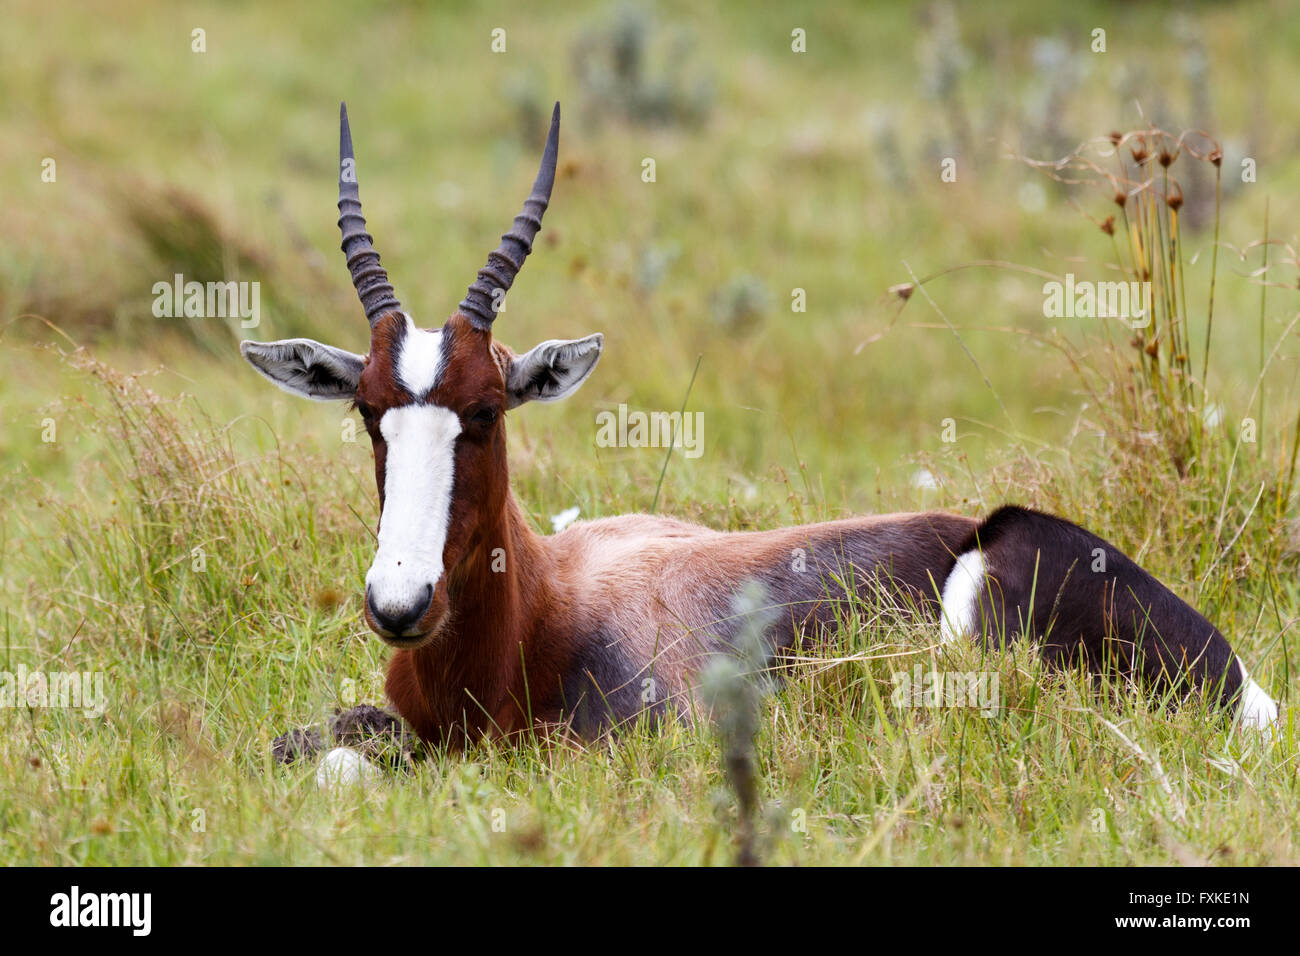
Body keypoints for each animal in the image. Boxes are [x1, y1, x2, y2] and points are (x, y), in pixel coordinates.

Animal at [241, 102, 1279, 764]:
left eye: (487, 410)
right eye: (369, 409)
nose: (400, 603)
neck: (543, 608)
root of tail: (1243, 686)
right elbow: (310, 744)